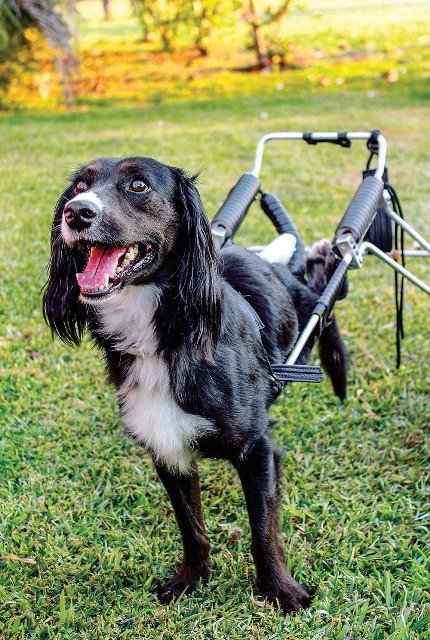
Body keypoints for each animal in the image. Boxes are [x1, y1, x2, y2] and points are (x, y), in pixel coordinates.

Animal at [42, 156, 350, 616]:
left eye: (138, 184)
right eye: (80, 185)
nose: (76, 212)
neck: (165, 336)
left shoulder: (257, 447)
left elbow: (263, 529)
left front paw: (281, 592)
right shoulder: (167, 447)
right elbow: (191, 526)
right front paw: (191, 580)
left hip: (309, 312)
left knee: (324, 296)